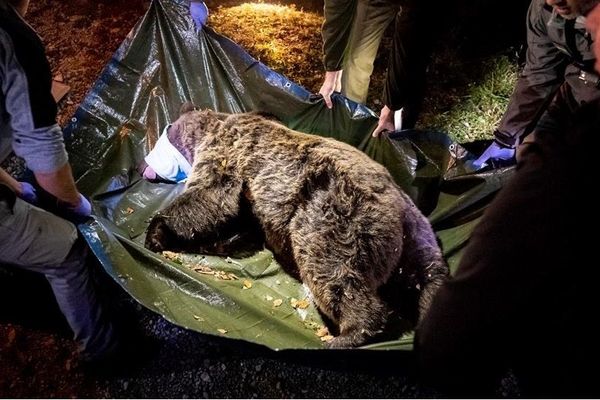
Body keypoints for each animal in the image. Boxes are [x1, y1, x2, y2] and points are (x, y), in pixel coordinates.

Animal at [143, 106, 448, 346]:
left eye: (161, 141)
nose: (145, 169)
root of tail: (399, 211)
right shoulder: (252, 207)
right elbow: (237, 227)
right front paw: (228, 240)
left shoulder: (228, 156)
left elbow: (210, 197)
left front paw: (155, 232)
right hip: (419, 239)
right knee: (429, 278)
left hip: (332, 218)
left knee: (334, 273)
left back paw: (346, 334)